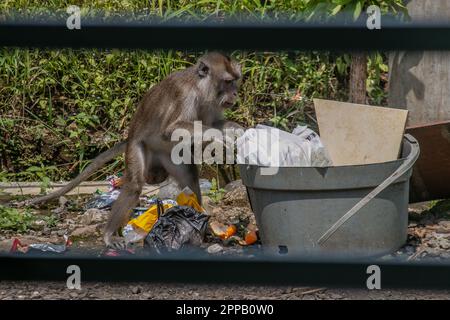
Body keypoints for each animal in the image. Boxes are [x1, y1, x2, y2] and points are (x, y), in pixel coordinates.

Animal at [17, 52, 243, 248]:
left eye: (235, 81)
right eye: (227, 81)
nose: (235, 93)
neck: (201, 87)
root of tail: (129, 138)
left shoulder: (213, 103)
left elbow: (214, 123)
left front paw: (236, 129)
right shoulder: (184, 95)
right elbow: (171, 129)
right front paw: (219, 136)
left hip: (168, 156)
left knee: (190, 179)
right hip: (138, 147)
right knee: (134, 185)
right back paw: (109, 234)